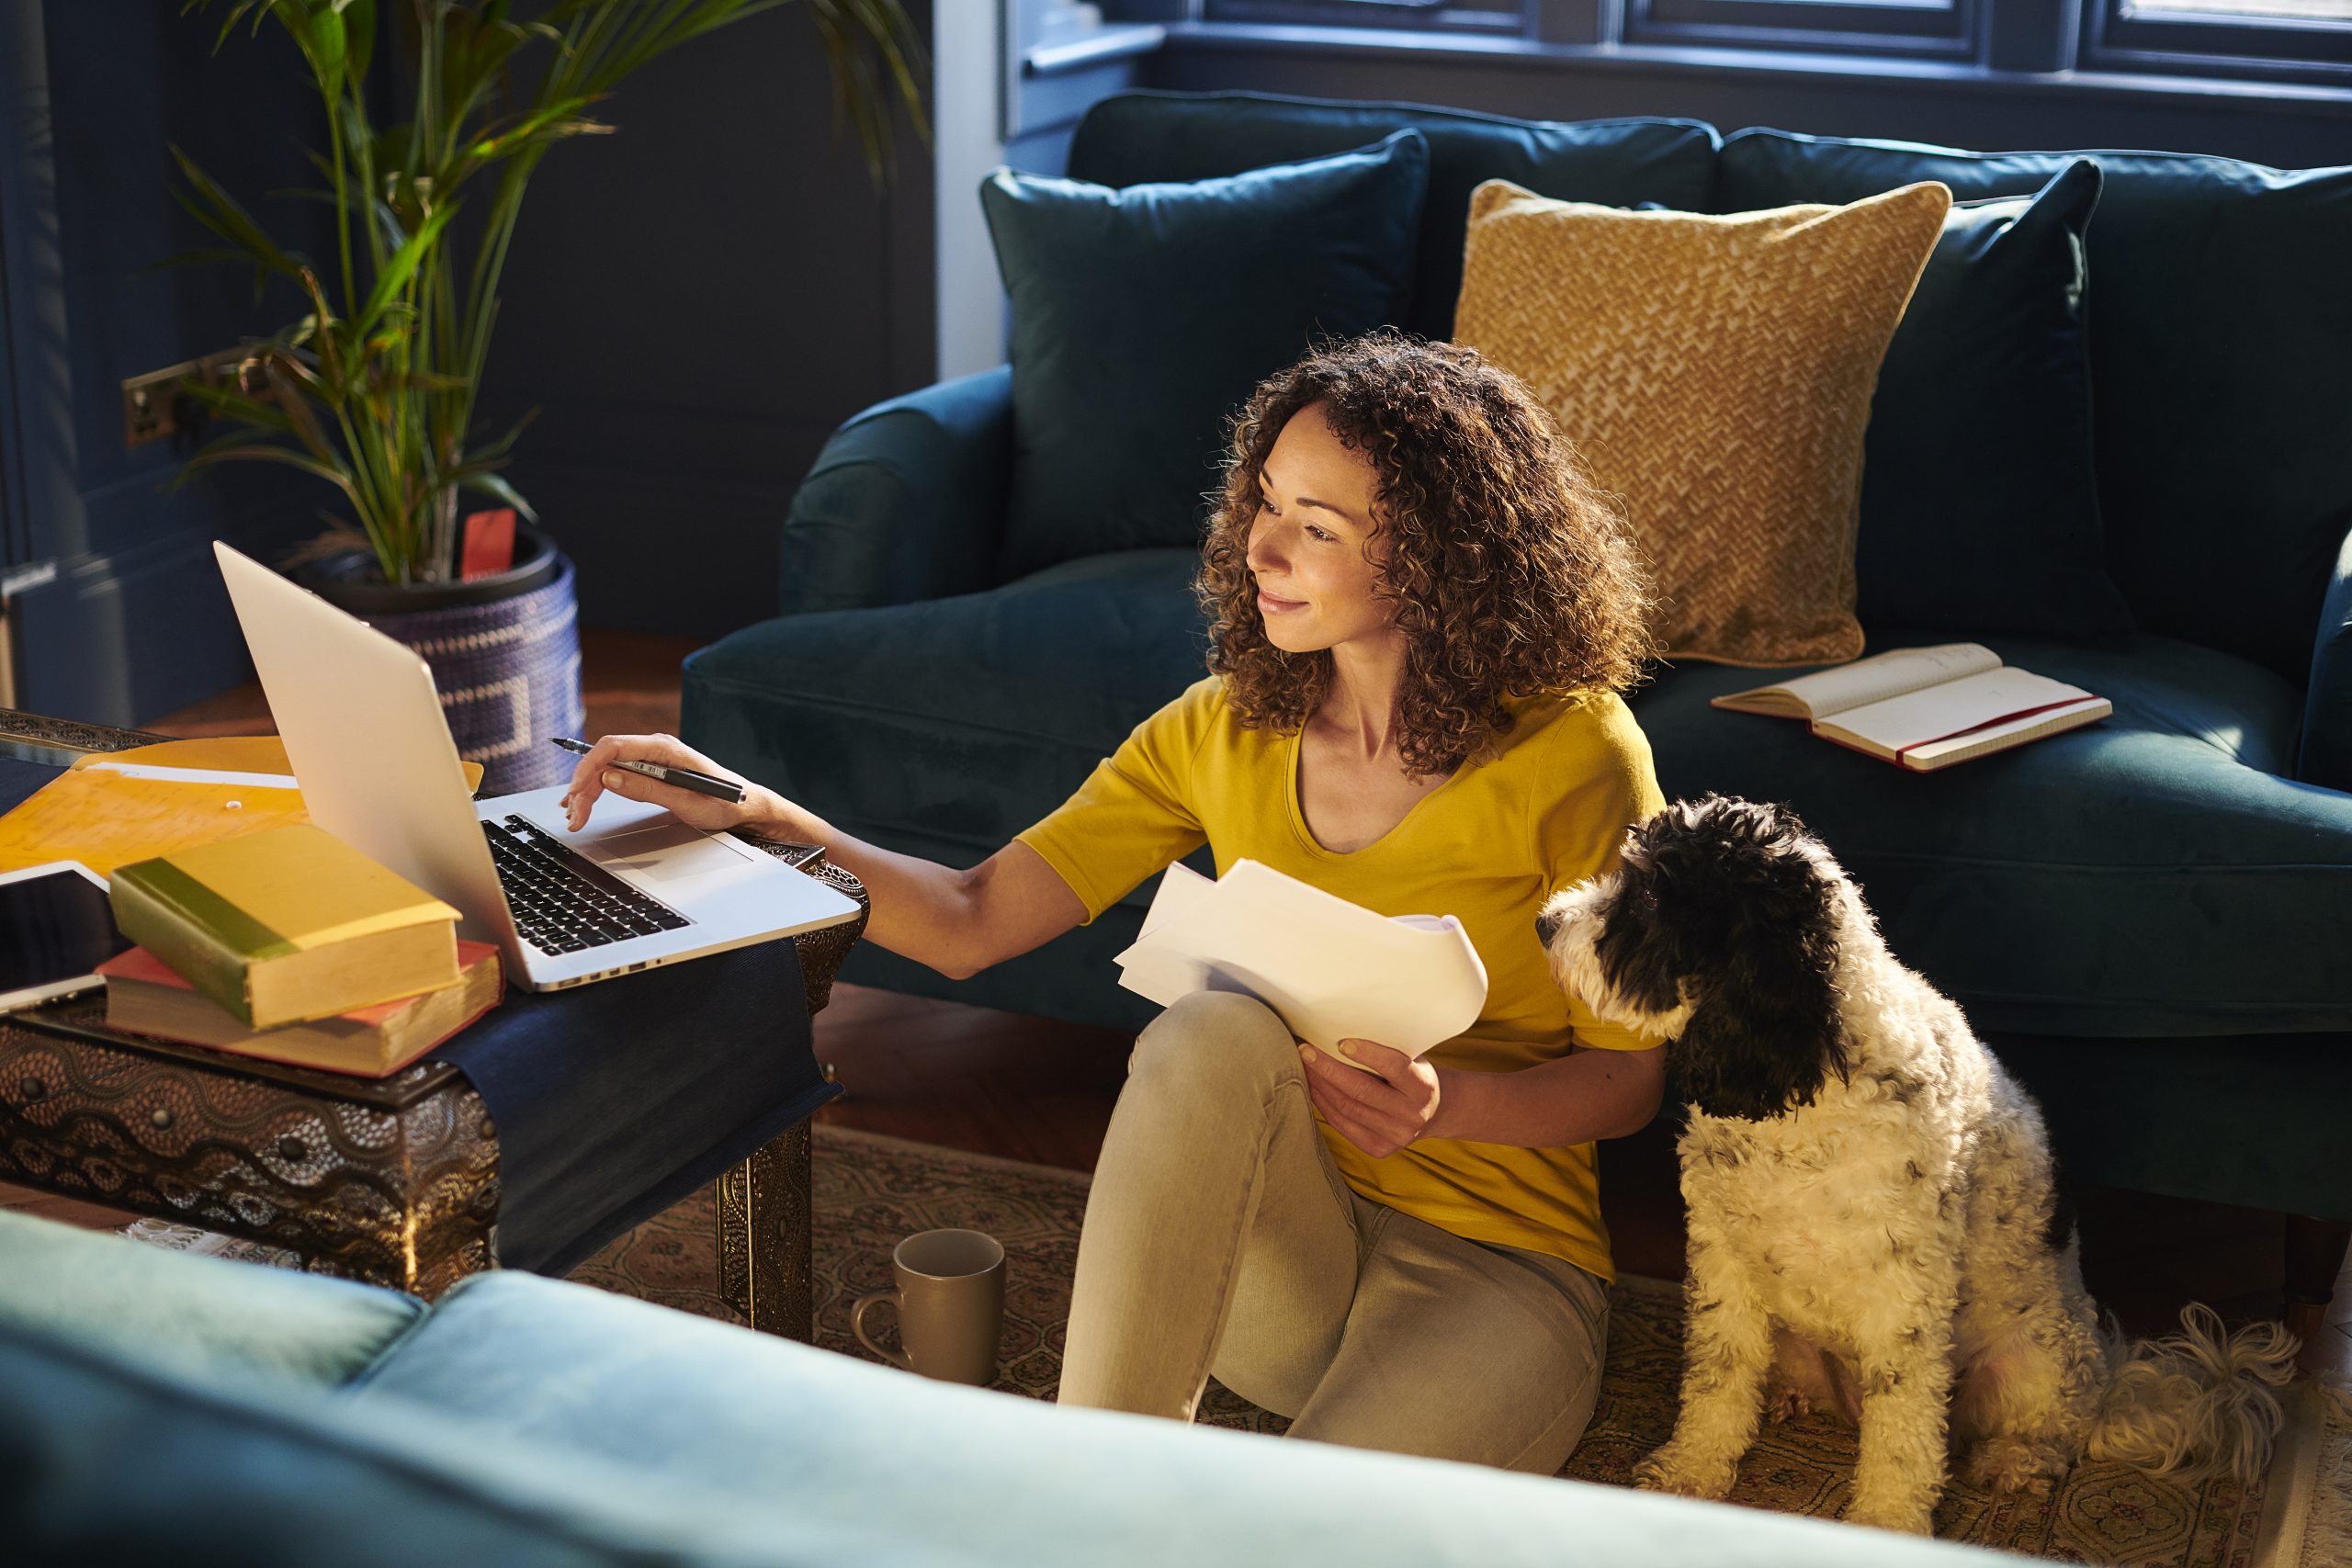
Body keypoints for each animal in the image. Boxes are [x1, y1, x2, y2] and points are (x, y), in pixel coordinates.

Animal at [1533, 799, 2286, 1532]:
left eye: (1651, 896)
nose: (1543, 923)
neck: (1801, 1084)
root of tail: (2112, 1372)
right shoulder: (1725, 1259)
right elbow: (1718, 1378)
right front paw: (1691, 1471)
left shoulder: (1904, 1292)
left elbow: (1903, 1434)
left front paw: (1888, 1521)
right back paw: (1788, 1398)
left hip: (2038, 1358)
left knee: (2057, 1427)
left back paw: (2018, 1461)